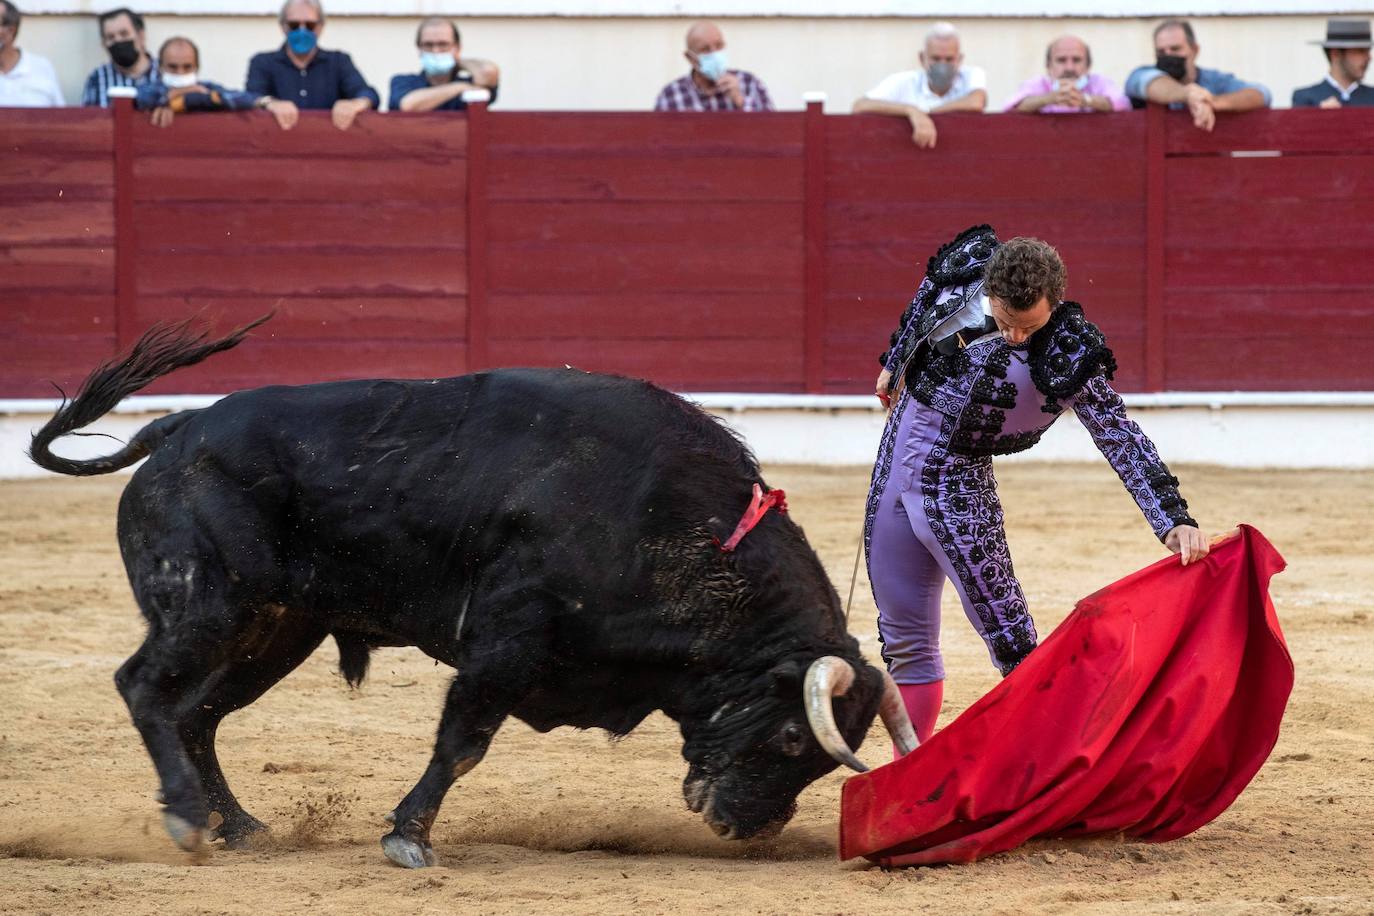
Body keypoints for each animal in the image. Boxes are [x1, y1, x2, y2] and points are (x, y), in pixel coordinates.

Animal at [29, 318, 912, 873]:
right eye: (795, 741)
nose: (747, 827)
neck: (670, 521)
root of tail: (178, 430)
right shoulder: (507, 642)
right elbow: (463, 743)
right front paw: (408, 839)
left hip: (277, 630)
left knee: (198, 714)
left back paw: (239, 827)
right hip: (213, 606)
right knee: (145, 687)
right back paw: (185, 818)